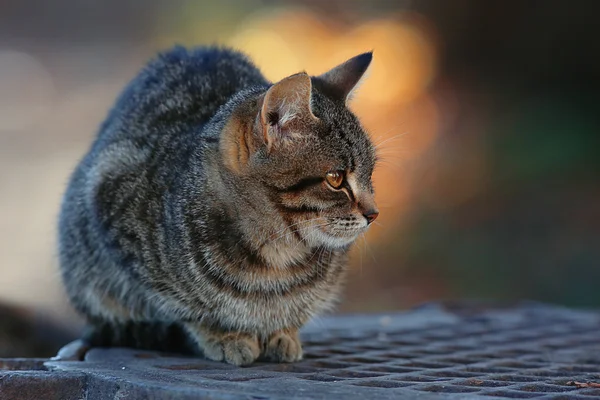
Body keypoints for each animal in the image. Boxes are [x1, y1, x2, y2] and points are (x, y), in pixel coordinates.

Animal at [59, 46, 380, 366]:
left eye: (369, 174)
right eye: (336, 179)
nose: (374, 213)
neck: (277, 254)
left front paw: (283, 332)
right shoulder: (111, 199)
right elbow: (187, 307)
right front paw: (224, 336)